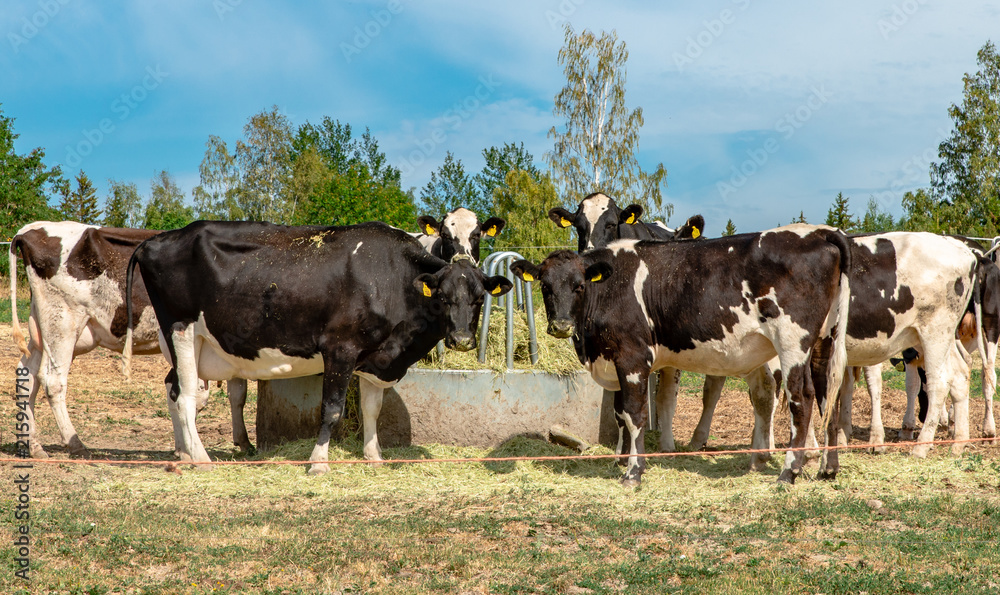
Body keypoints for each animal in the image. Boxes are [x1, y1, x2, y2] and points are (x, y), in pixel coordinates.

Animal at [9, 221, 254, 458]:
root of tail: (30, 230)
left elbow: (236, 392)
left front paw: (240, 441)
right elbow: (193, 395)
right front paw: (187, 448)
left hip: (43, 332)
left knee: (27, 375)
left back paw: (33, 446)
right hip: (63, 324)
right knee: (53, 380)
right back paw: (76, 444)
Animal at [123, 221, 516, 472]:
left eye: (479, 299)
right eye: (443, 298)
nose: (462, 339)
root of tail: (157, 239)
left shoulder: (374, 358)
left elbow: (372, 409)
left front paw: (374, 457)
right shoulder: (340, 349)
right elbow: (331, 410)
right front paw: (318, 462)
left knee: (173, 389)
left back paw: (185, 454)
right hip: (182, 330)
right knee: (187, 397)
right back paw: (202, 460)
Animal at [516, 226, 852, 486]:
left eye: (579, 286)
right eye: (545, 286)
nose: (561, 325)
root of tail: (821, 232)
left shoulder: (633, 356)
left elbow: (635, 414)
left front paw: (634, 472)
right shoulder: (615, 359)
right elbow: (619, 413)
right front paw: (620, 461)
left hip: (792, 340)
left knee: (802, 398)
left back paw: (788, 472)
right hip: (826, 338)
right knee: (827, 395)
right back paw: (828, 468)